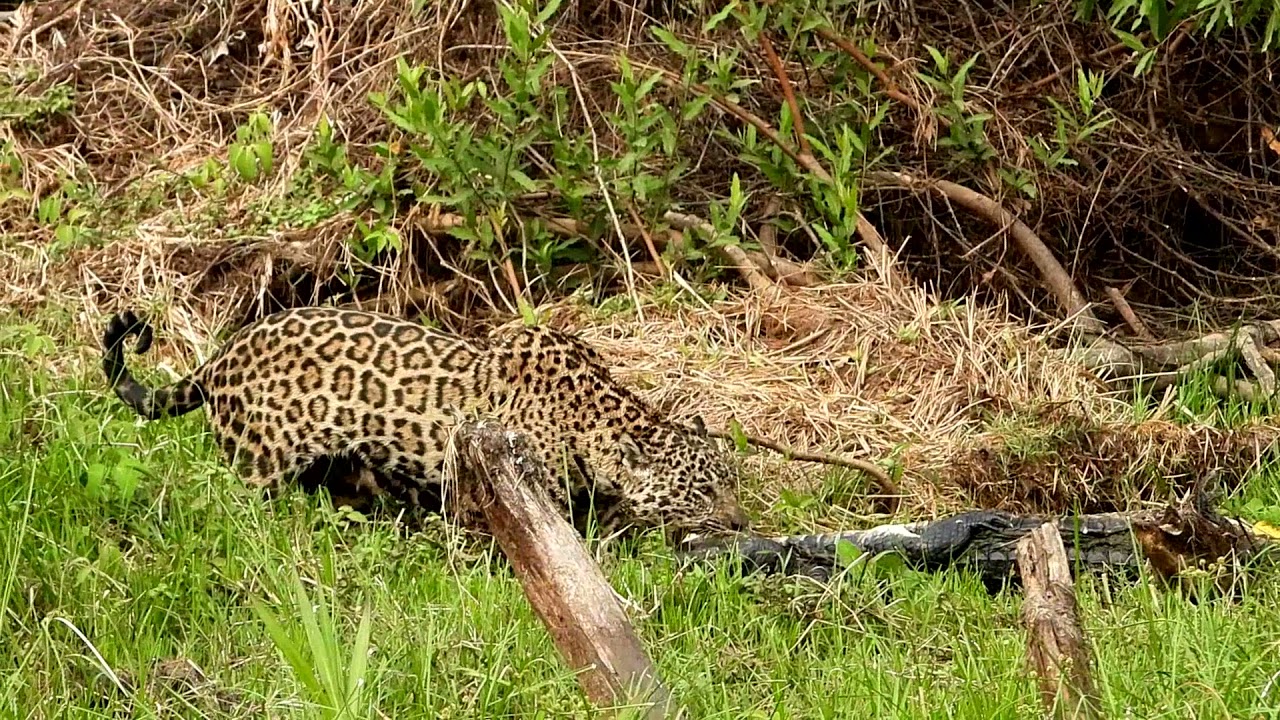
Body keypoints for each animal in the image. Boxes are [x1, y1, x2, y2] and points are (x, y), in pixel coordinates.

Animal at [100, 306, 750, 542]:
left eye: (730, 482)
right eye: (701, 490)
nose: (741, 521)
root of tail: (221, 357)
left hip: (341, 467)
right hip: (258, 468)